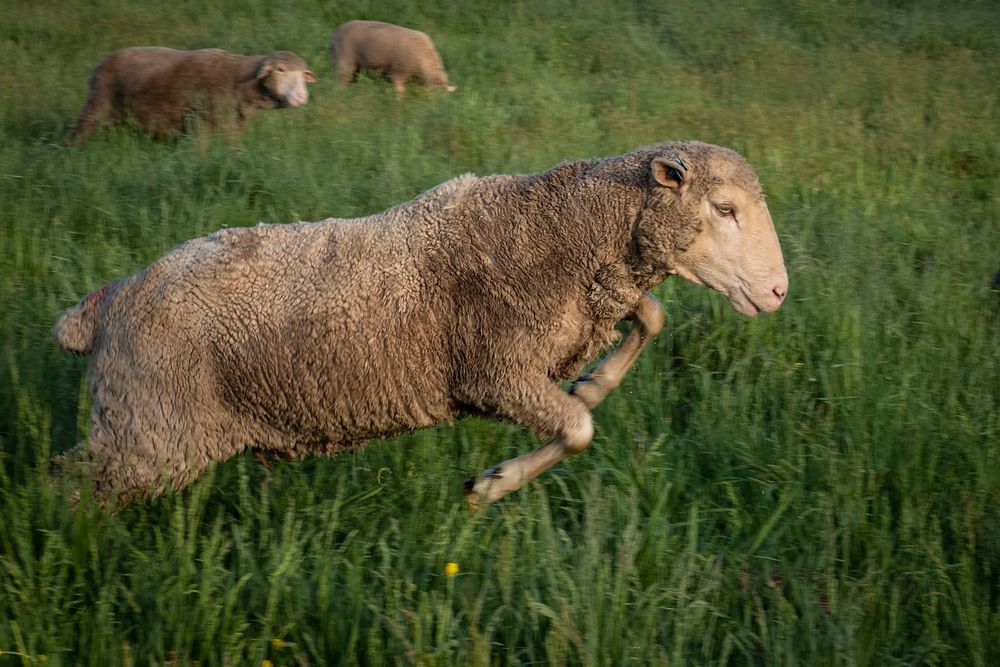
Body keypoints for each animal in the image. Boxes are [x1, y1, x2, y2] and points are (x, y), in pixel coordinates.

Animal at [54, 140, 788, 506]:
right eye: (724, 208)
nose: (779, 291)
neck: (563, 230)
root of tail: (108, 301)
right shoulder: (496, 372)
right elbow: (578, 430)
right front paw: (490, 486)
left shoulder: (597, 295)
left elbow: (651, 316)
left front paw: (594, 381)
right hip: (150, 435)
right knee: (66, 485)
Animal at [65, 46, 316, 144]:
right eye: (280, 70)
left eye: (303, 75)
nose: (302, 97)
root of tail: (102, 62)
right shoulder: (201, 121)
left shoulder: (233, 123)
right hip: (98, 103)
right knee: (78, 132)